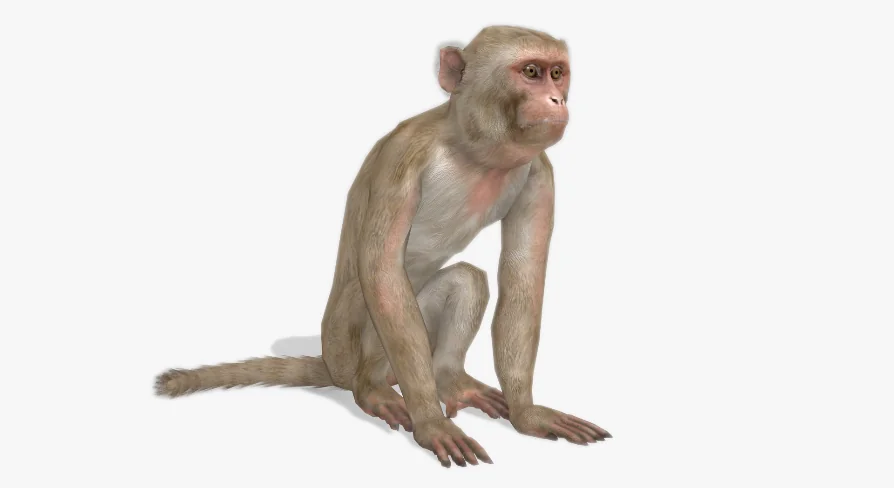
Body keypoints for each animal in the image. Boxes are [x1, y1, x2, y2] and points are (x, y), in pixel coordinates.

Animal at [155, 25, 612, 468]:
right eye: (531, 72)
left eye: (557, 73)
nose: (556, 99)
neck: (473, 154)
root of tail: (333, 365)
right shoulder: (403, 158)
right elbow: (381, 271)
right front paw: (431, 422)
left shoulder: (539, 173)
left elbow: (523, 279)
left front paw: (527, 413)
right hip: (348, 346)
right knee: (372, 294)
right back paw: (371, 386)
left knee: (467, 281)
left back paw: (448, 377)